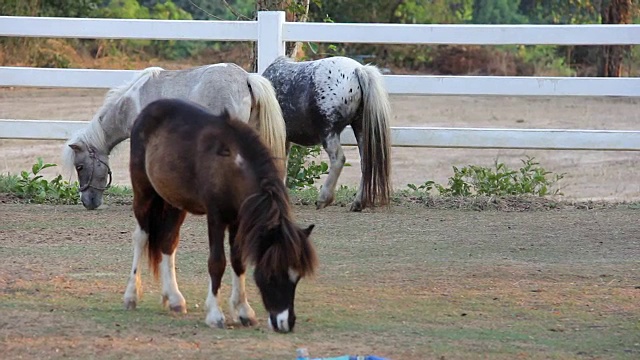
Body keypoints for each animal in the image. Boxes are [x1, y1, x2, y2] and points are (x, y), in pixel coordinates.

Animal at [122, 98, 318, 332]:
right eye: (272, 273)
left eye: (297, 276)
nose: (286, 323)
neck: (234, 167)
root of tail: (148, 110)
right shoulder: (216, 217)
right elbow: (217, 262)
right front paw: (215, 314)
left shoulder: (237, 220)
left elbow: (238, 261)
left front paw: (244, 311)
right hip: (144, 193)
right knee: (141, 238)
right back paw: (131, 295)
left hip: (174, 203)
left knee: (168, 242)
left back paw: (175, 299)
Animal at [262, 56, 392, 211]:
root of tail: (358, 70)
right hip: (360, 129)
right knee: (365, 164)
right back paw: (358, 203)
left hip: (329, 132)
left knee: (338, 159)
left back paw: (324, 198)